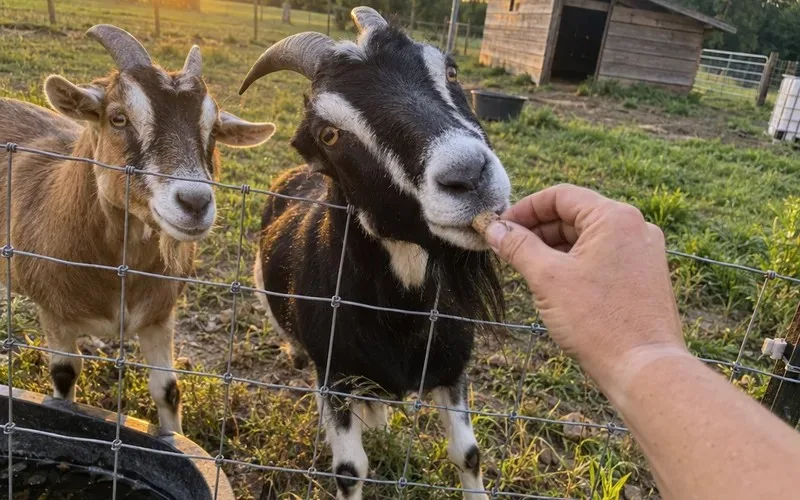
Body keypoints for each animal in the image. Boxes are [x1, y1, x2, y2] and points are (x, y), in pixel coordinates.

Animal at [0, 25, 275, 435]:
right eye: (118, 118)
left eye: (213, 130)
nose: (195, 202)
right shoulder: (52, 311)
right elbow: (65, 374)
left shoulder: (159, 315)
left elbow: (168, 389)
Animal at [241, 8, 510, 499]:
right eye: (329, 134)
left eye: (450, 71)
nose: (469, 175)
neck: (403, 312)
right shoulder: (336, 374)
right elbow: (350, 469)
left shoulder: (453, 369)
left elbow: (468, 453)